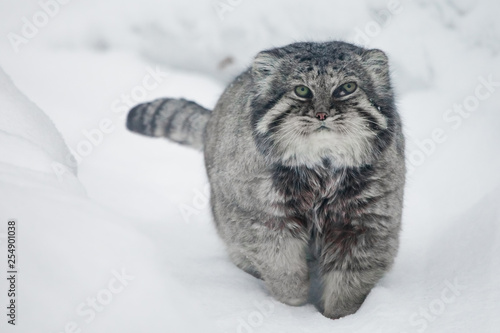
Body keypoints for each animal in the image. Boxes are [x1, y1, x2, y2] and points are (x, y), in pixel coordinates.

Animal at [127, 41, 404, 320]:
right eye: (302, 90)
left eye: (347, 88)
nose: (322, 114)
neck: (321, 169)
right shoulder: (264, 219)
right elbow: (283, 270)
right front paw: (293, 311)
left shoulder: (365, 224)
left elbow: (349, 285)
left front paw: (340, 319)